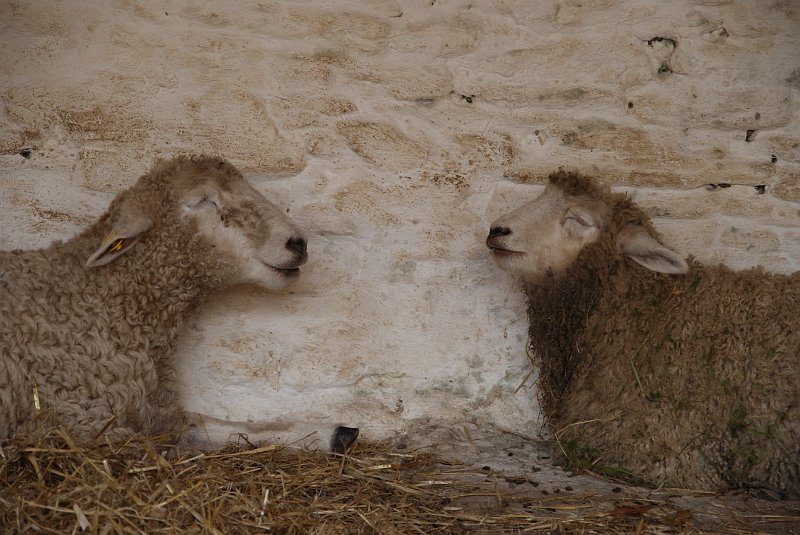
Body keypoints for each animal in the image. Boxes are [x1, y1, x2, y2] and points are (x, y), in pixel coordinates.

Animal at [0, 157, 360, 454]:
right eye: (201, 200)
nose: (297, 243)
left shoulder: (155, 410)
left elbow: (224, 427)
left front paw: (331, 432)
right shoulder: (83, 417)